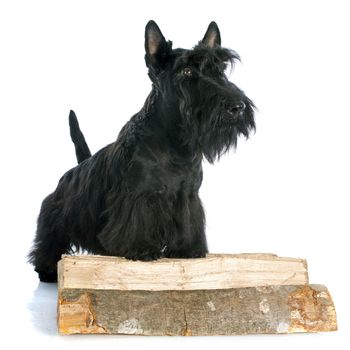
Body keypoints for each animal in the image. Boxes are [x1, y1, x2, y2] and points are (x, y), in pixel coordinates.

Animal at [28, 19, 254, 282]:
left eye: (220, 68)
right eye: (187, 71)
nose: (236, 107)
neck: (175, 145)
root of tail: (77, 167)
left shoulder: (187, 196)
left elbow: (188, 223)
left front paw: (187, 249)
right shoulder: (137, 195)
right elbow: (135, 225)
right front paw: (142, 249)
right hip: (58, 215)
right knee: (49, 242)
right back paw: (47, 270)